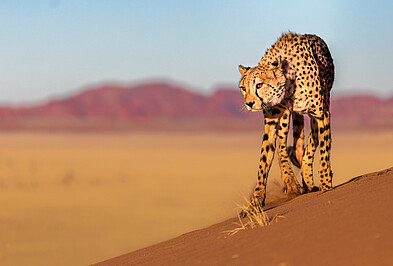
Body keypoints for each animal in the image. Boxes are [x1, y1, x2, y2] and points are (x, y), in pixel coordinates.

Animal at [237, 32, 332, 213]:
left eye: (259, 85)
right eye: (243, 88)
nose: (249, 104)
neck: (288, 89)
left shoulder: (321, 113)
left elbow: (324, 151)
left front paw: (326, 185)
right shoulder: (271, 120)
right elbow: (264, 161)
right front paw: (255, 203)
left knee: (310, 143)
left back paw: (307, 180)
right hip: (285, 118)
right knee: (283, 147)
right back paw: (293, 182)